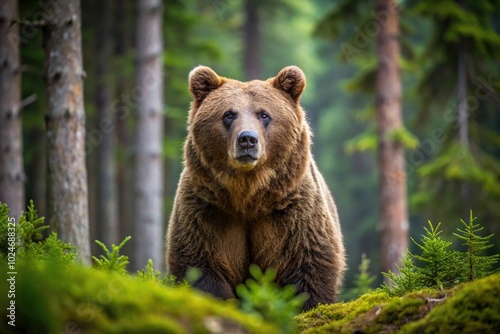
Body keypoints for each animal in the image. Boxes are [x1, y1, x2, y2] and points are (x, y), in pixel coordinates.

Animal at [166, 65, 346, 310]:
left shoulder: (294, 211)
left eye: (264, 114)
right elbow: (201, 266)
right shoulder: (207, 211)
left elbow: (307, 265)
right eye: (229, 114)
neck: (248, 195)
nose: (247, 140)